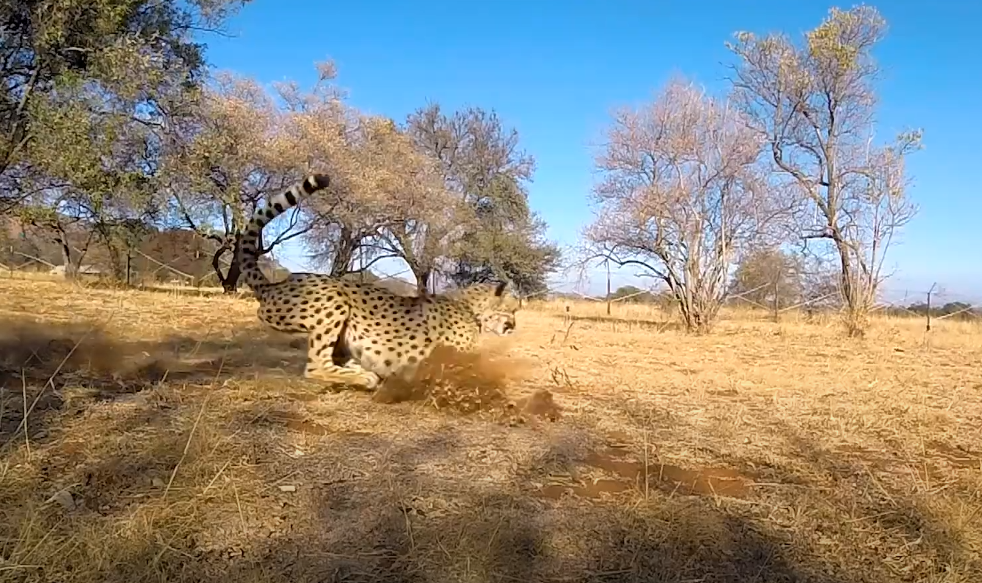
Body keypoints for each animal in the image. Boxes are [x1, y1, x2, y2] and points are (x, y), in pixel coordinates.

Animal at [237, 176, 524, 390]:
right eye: (513, 309)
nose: (513, 325)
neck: (470, 307)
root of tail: (274, 284)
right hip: (334, 298)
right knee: (315, 365)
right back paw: (364, 377)